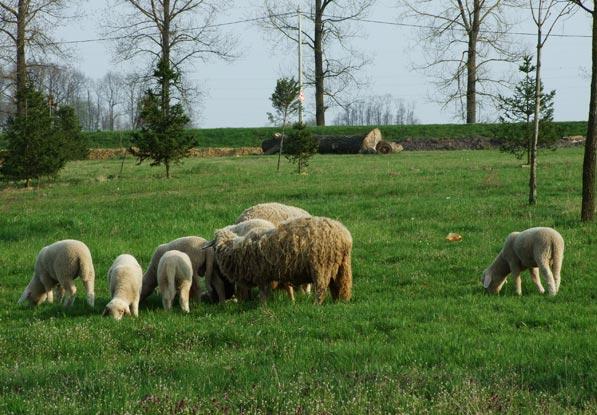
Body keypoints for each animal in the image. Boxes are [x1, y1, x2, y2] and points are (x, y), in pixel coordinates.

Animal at [212, 216, 352, 304]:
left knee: (321, 288)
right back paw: (337, 301)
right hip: (341, 266)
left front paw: (262, 307)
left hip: (322, 265)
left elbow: (263, 294)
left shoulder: (261, 276)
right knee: (340, 285)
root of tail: (345, 236)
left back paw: (316, 305)